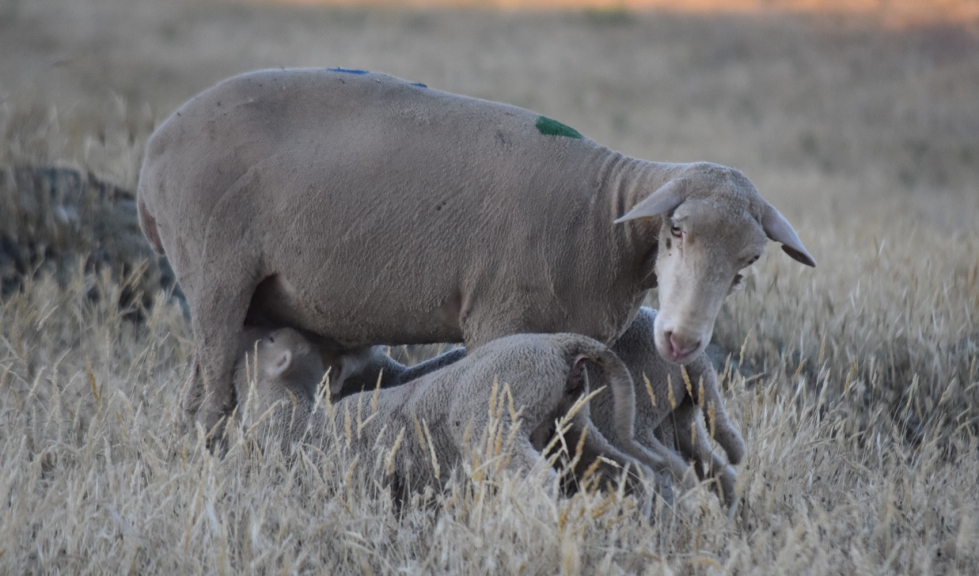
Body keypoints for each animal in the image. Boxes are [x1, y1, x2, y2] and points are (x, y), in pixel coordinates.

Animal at [134, 66, 816, 432]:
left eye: (749, 263)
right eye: (676, 231)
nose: (680, 341)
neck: (605, 214)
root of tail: (155, 151)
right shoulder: (500, 319)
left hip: (254, 296)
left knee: (198, 392)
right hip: (215, 267)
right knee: (213, 397)